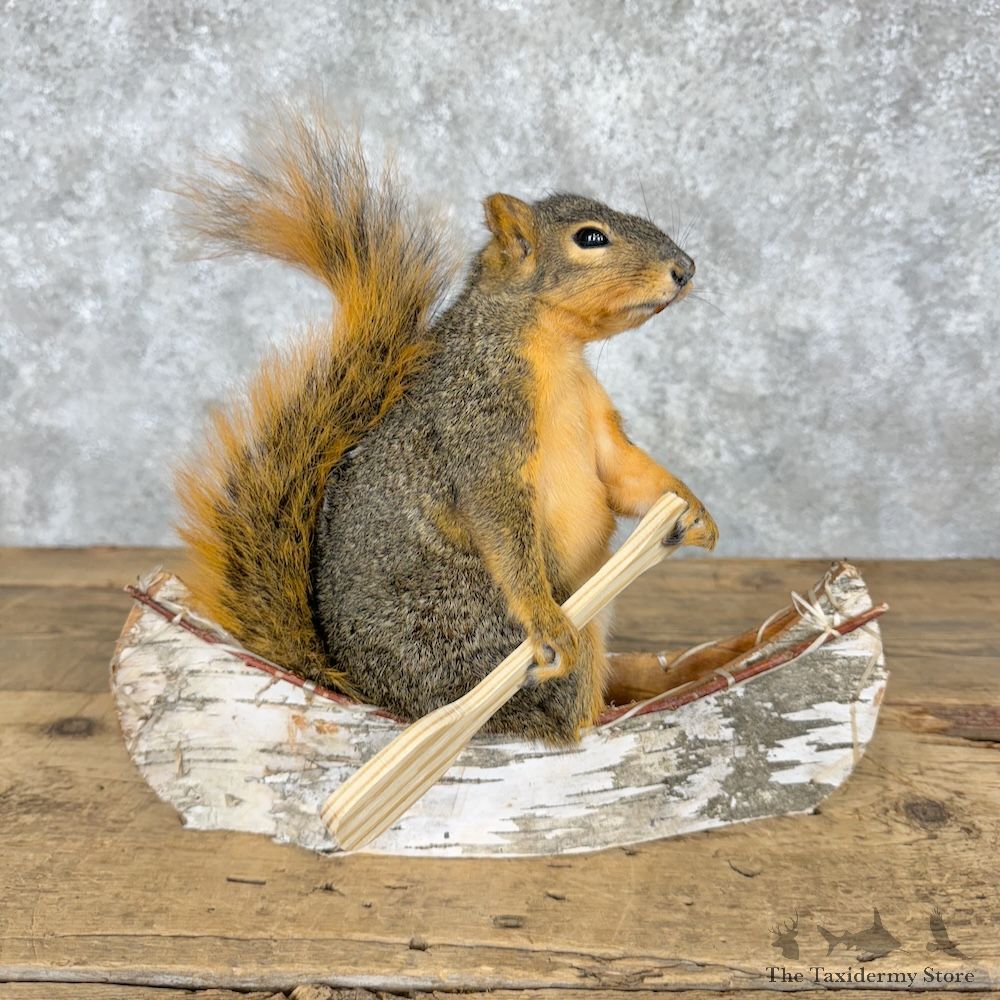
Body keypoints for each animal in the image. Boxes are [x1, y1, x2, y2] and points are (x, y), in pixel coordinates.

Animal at [174, 109, 718, 745]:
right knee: (547, 718)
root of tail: (366, 690)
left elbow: (626, 474)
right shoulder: (478, 425)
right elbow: (498, 516)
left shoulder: (597, 425)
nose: (685, 269)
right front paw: (543, 615)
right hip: (479, 629)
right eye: (590, 238)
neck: (555, 350)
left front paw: (694, 511)